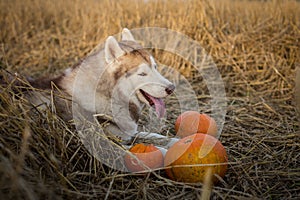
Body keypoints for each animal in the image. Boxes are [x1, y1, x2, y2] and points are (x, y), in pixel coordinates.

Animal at [24, 27, 178, 150]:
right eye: (142, 74)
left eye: (155, 67)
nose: (172, 88)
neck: (108, 95)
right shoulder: (108, 143)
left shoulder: (128, 133)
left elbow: (157, 136)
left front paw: (177, 141)